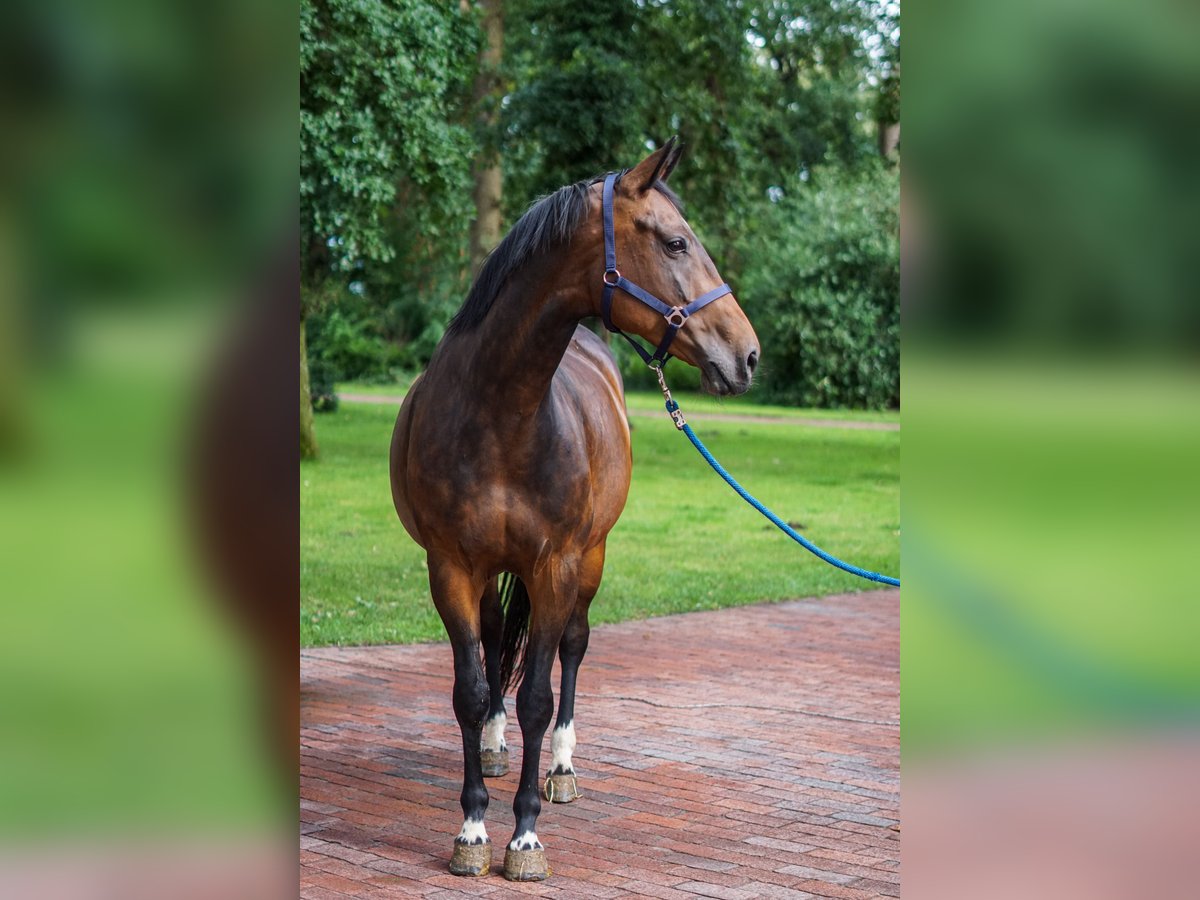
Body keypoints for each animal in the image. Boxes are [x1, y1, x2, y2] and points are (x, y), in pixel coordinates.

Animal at [388, 141, 758, 883]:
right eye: (676, 242)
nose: (748, 354)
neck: (502, 415)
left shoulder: (555, 565)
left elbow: (539, 693)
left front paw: (525, 837)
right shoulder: (450, 568)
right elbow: (471, 688)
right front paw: (473, 827)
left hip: (590, 559)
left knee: (572, 649)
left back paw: (560, 767)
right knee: (498, 643)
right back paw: (496, 748)